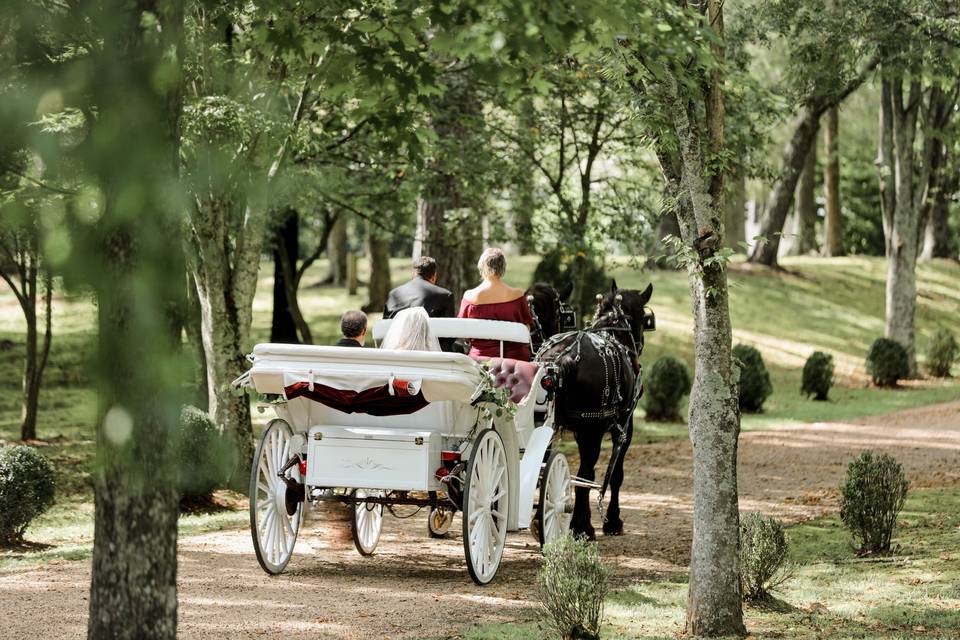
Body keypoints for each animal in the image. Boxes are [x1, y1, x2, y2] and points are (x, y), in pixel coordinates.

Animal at [524, 278, 652, 536]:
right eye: (644, 317)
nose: (638, 347)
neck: (614, 333)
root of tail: (563, 357)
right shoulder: (624, 425)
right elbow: (615, 474)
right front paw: (612, 520)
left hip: (545, 422)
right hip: (591, 429)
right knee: (584, 472)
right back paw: (581, 525)